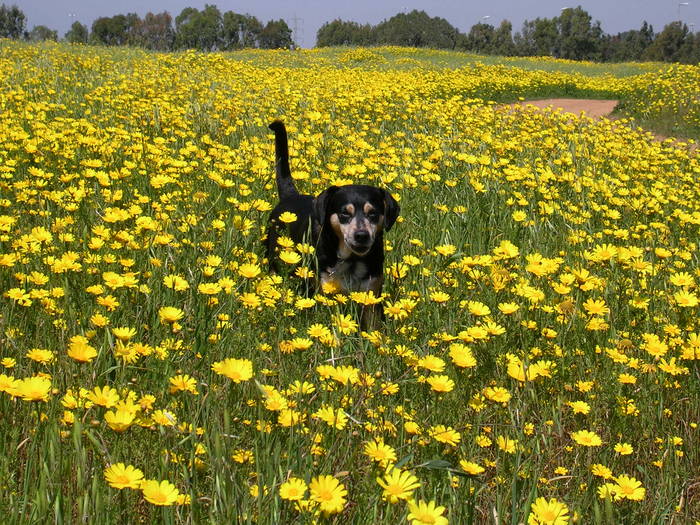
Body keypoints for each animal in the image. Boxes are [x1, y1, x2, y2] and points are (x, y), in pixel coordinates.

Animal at [266, 121, 400, 328]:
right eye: (345, 213)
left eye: (373, 213)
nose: (361, 235)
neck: (352, 260)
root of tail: (290, 196)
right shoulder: (324, 291)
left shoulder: (371, 297)